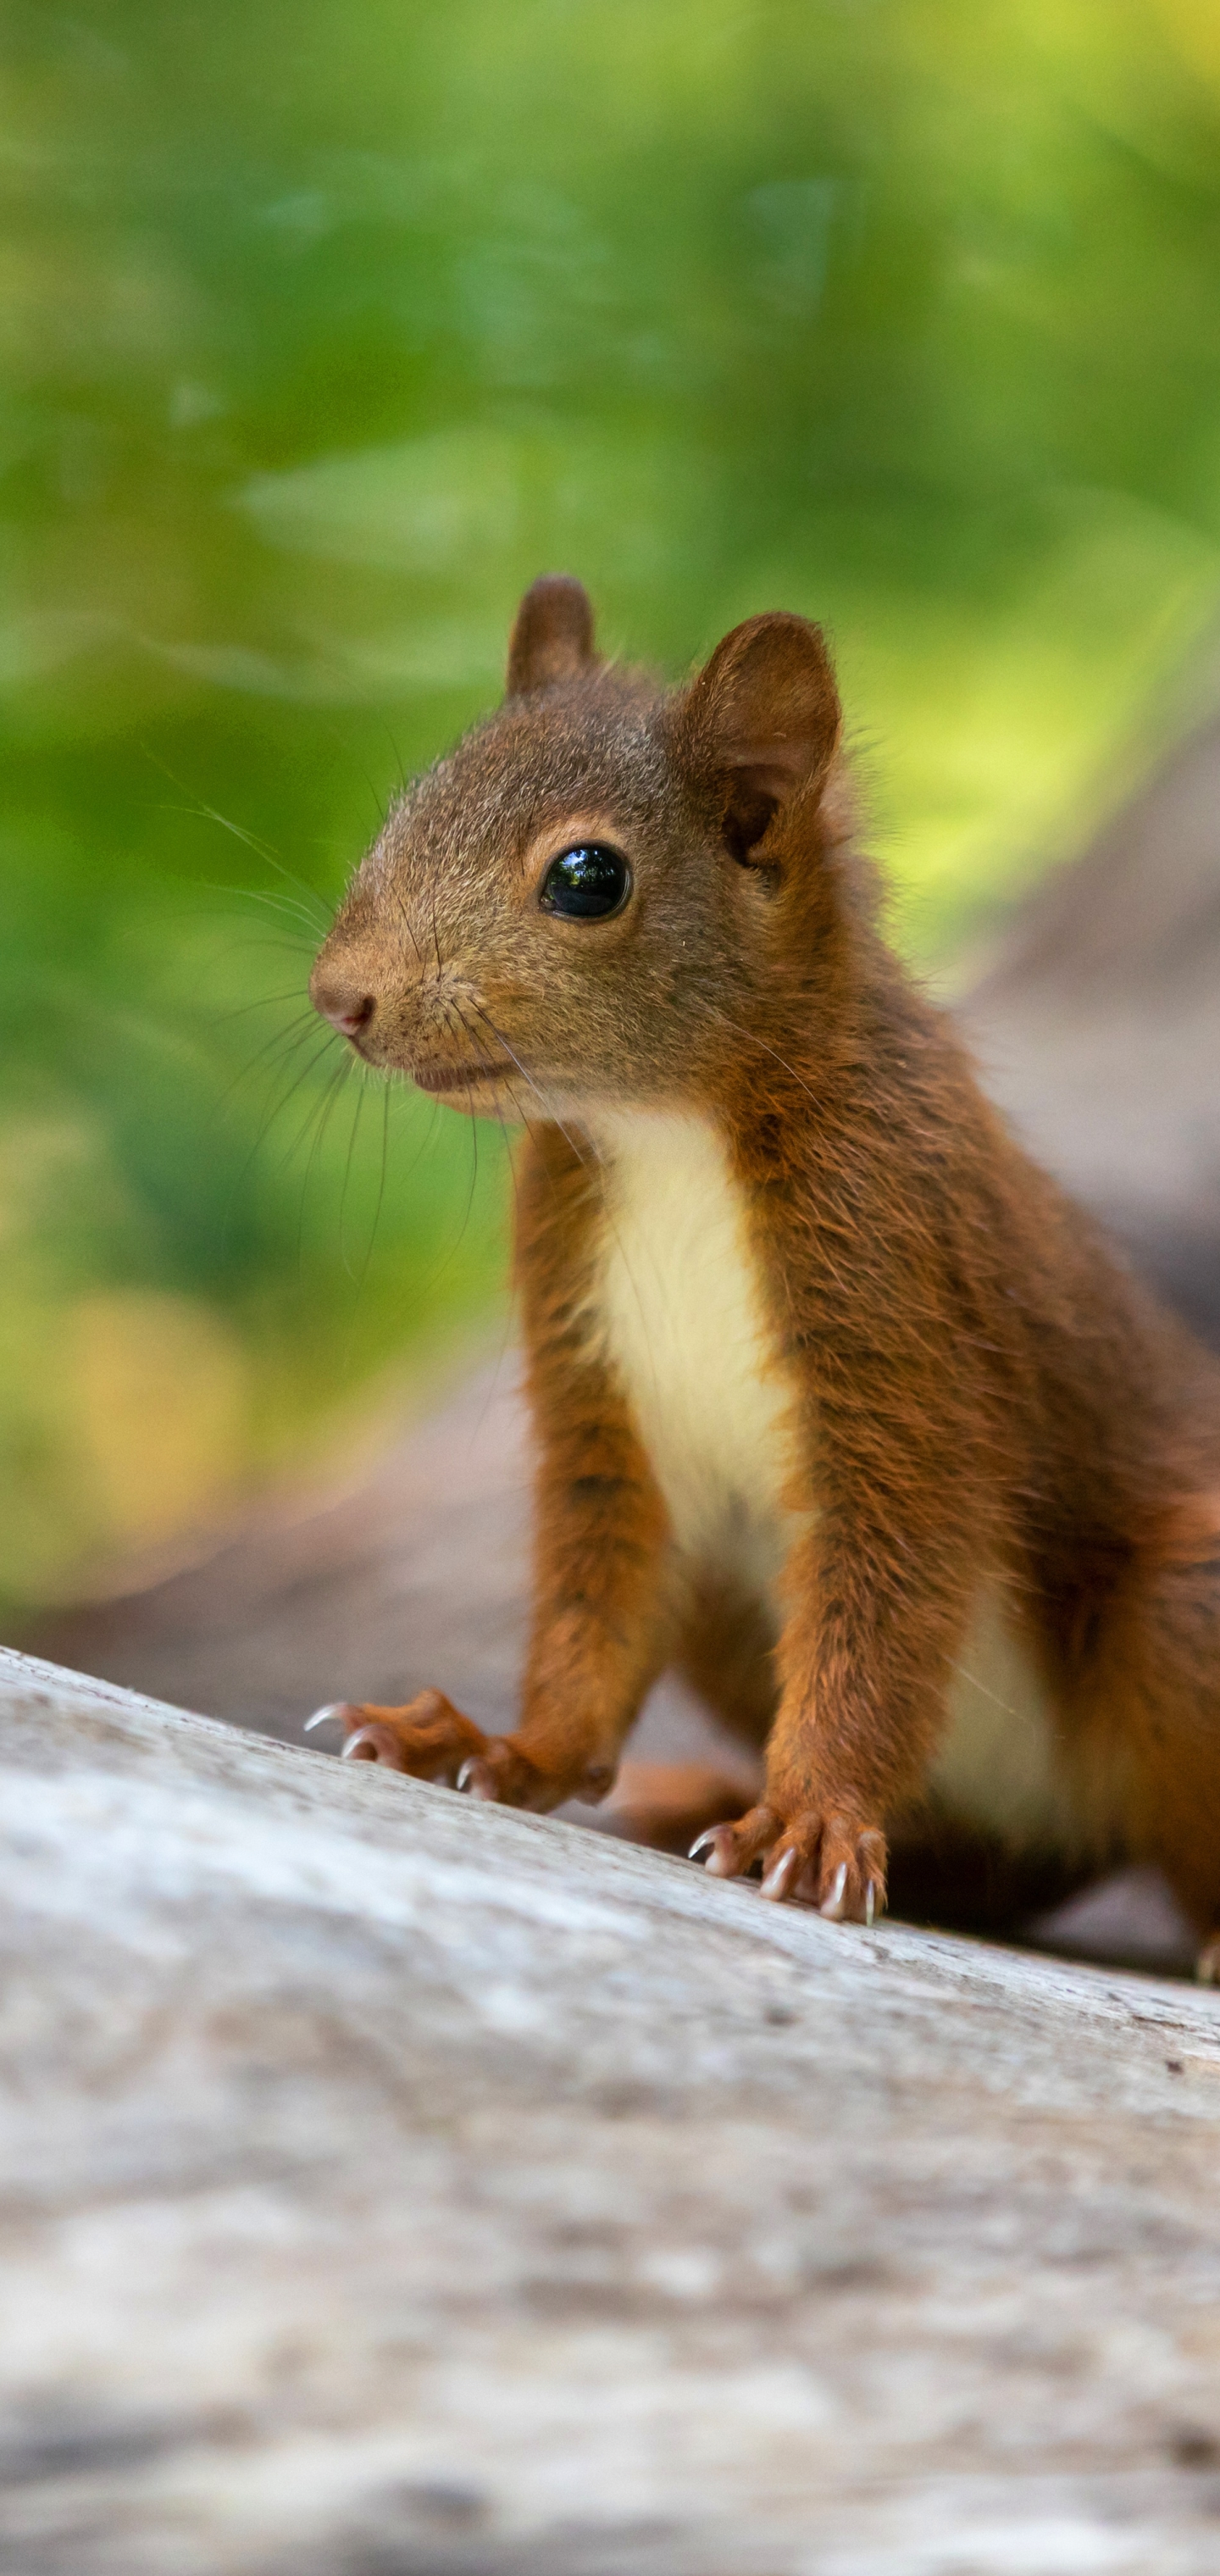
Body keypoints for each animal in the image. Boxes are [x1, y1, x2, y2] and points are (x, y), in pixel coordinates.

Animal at [308, 580, 1220, 1968]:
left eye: (588, 877)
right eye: (411, 804)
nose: (339, 998)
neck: (665, 1128)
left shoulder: (901, 1301)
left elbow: (884, 1598)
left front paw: (813, 1818)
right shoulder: (597, 1387)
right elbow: (594, 1603)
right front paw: (500, 1748)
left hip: (1182, 1611)